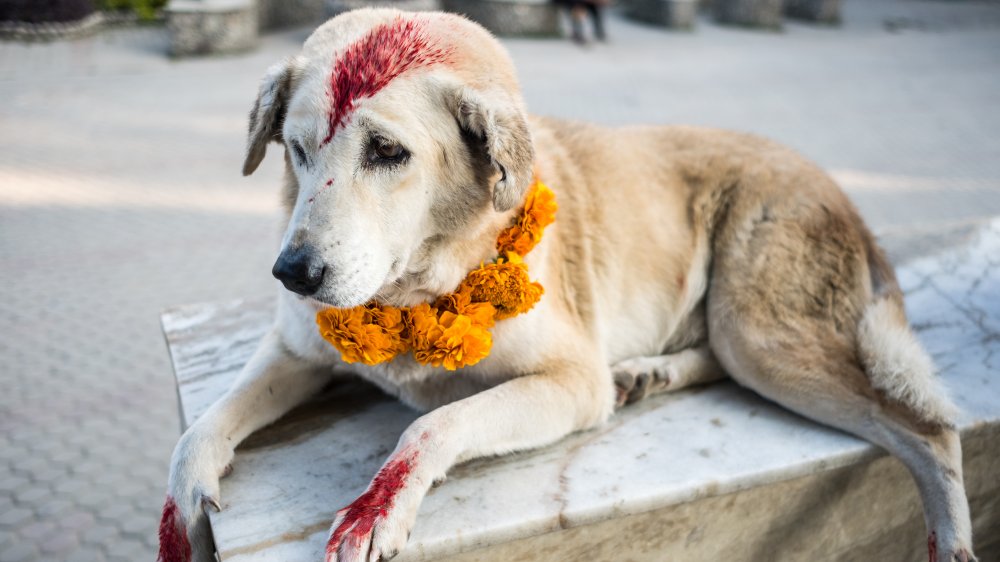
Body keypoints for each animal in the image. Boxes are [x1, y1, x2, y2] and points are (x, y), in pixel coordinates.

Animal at [156, 8, 976, 560]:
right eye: (296, 149)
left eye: (387, 151)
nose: (292, 273)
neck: (417, 291)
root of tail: (837, 188)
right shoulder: (295, 351)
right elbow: (196, 434)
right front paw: (183, 513)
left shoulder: (572, 383)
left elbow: (433, 424)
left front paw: (376, 508)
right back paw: (647, 373)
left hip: (760, 332)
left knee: (929, 433)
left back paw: (949, 536)